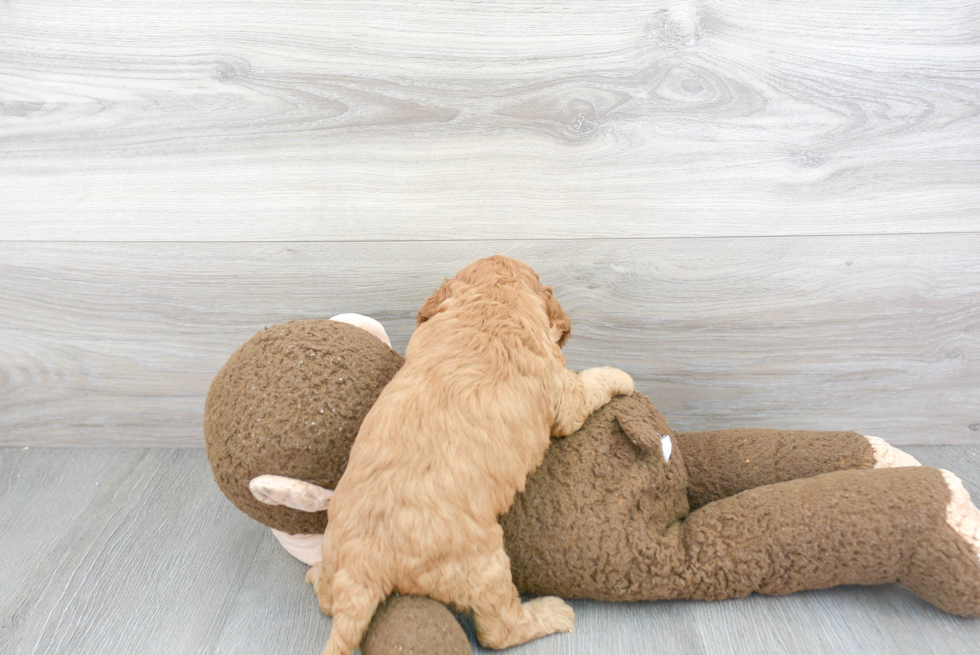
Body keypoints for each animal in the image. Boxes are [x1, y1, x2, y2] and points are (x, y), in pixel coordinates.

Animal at [306, 256, 636, 655]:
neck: (490, 306)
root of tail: (362, 567)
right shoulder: (563, 394)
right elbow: (591, 383)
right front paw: (621, 376)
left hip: (334, 549)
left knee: (328, 600)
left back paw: (314, 577)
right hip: (484, 562)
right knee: (498, 630)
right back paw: (552, 612)